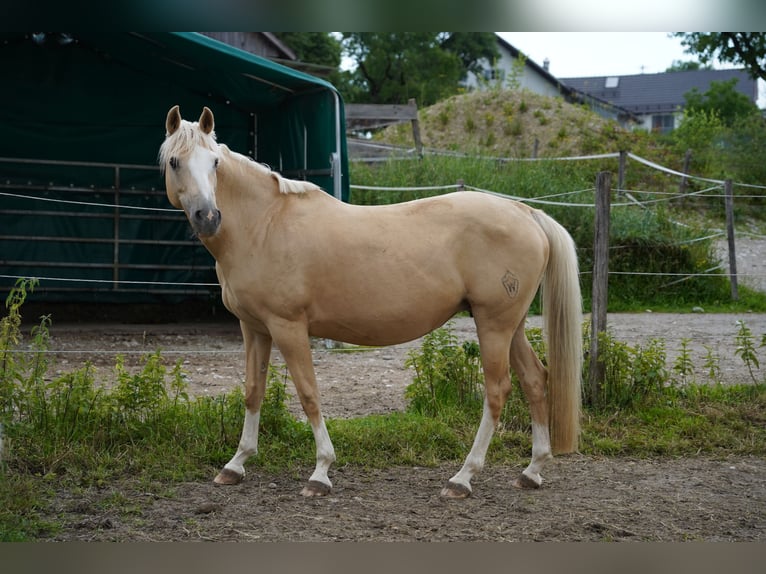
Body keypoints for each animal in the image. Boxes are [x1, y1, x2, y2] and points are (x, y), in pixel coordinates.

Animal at [159, 105, 583, 498]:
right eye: (175, 161)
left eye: (214, 162)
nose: (208, 216)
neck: (264, 224)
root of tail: (526, 212)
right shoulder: (254, 328)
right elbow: (252, 391)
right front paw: (236, 464)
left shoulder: (288, 326)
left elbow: (308, 393)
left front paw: (321, 472)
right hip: (510, 326)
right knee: (535, 380)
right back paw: (531, 471)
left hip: (493, 325)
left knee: (497, 391)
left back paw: (463, 478)